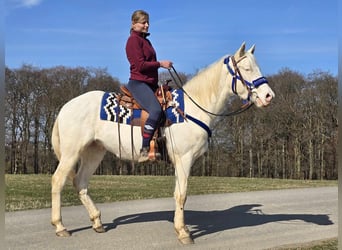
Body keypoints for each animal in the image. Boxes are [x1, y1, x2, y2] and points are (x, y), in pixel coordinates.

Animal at [50, 42, 276, 244]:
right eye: (246, 69)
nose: (268, 96)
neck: (192, 109)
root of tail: (66, 107)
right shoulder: (184, 159)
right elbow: (182, 195)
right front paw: (183, 233)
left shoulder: (180, 162)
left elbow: (178, 194)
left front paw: (182, 228)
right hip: (72, 153)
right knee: (58, 180)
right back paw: (60, 226)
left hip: (94, 152)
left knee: (80, 183)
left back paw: (97, 222)